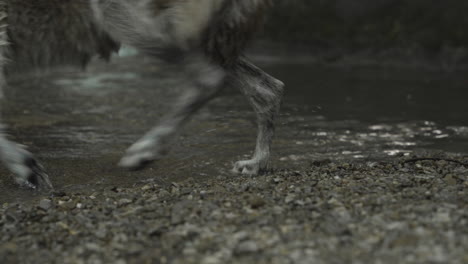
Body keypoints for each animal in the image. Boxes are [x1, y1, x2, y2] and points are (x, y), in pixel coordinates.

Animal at [0, 0, 284, 190]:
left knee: (209, 78)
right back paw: (256, 164)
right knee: (268, 88)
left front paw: (24, 166)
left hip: (128, 21)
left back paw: (145, 149)